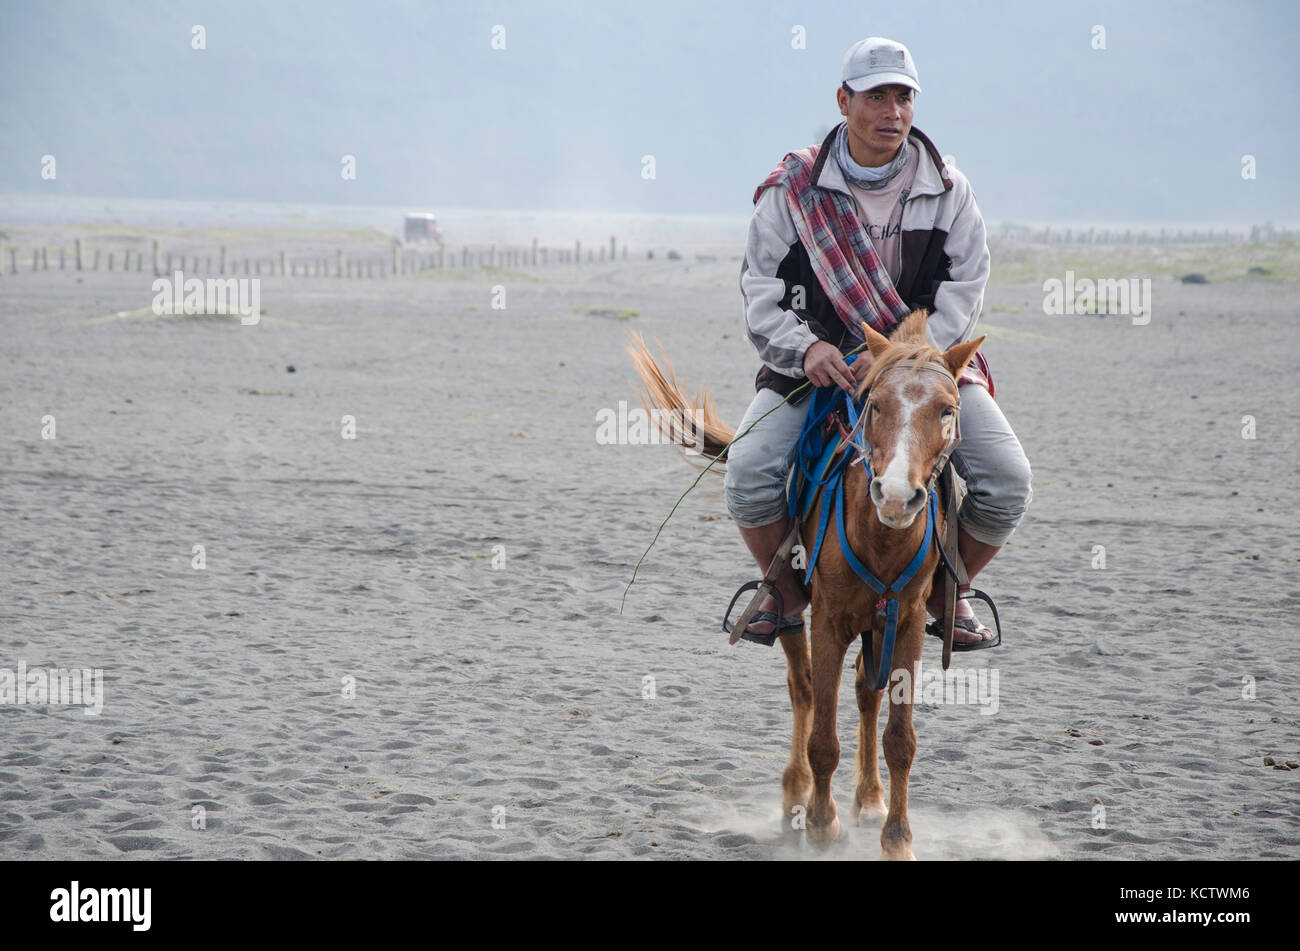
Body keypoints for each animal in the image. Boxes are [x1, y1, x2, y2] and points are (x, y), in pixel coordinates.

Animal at [631, 307, 982, 857]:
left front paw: (896, 839)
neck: (880, 538)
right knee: (803, 690)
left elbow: (900, 739)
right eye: (875, 405)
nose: (895, 496)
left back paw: (869, 799)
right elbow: (822, 737)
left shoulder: (905, 624)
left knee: (865, 693)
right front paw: (820, 824)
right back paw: (796, 798)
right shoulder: (828, 621)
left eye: (947, 410)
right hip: (794, 611)